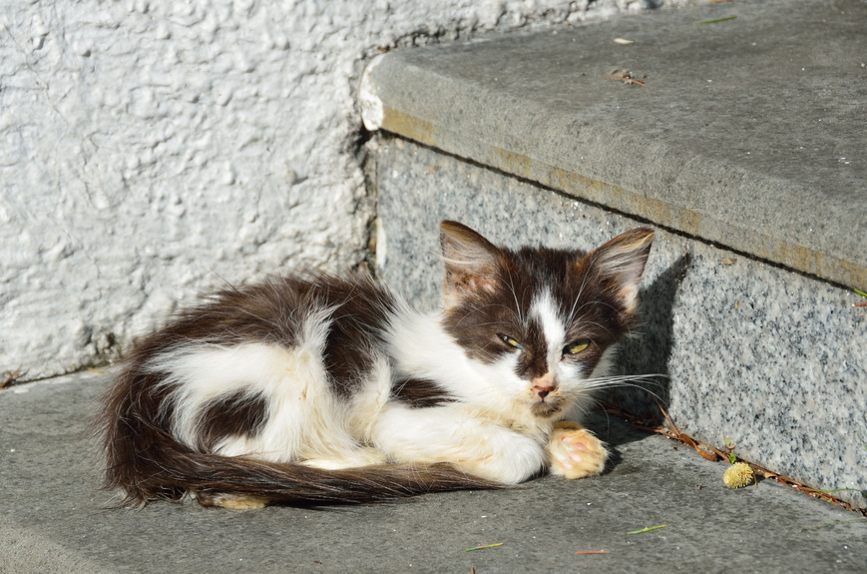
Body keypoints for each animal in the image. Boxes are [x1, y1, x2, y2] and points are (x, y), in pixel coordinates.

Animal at [98, 223, 656, 510]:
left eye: (577, 347)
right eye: (509, 339)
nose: (543, 384)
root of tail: (138, 393)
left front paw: (573, 443)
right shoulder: (406, 408)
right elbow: (516, 453)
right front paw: (538, 446)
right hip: (283, 355)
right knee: (239, 460)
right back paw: (346, 463)